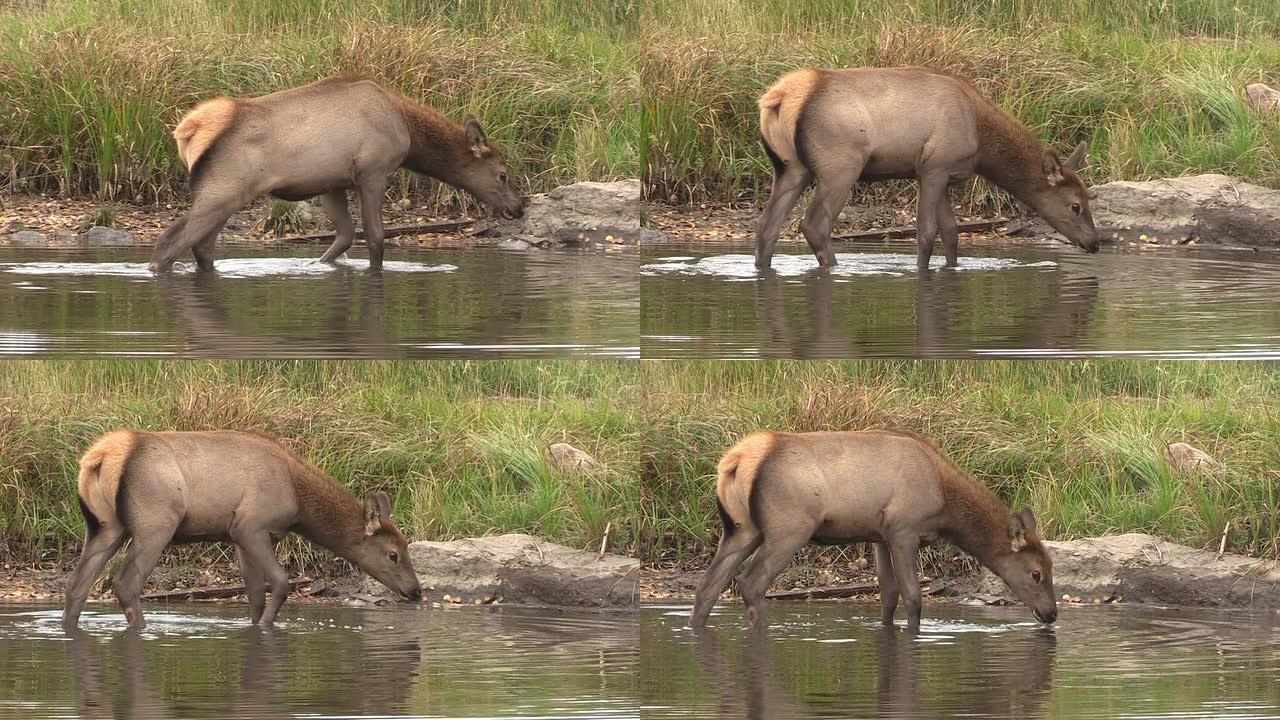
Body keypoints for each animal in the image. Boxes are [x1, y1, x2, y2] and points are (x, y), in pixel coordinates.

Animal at [62, 425, 422, 627]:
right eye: (393, 554)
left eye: (406, 547)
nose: (416, 591)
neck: (299, 501)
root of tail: (100, 458)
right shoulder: (251, 526)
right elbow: (280, 583)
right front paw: (266, 627)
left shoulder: (237, 536)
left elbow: (255, 594)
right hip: (156, 522)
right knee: (125, 583)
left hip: (104, 527)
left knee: (76, 585)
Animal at [151, 74, 524, 271]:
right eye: (503, 174)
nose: (518, 207)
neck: (410, 133)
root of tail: (188, 130)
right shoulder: (373, 171)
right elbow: (374, 237)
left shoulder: (331, 183)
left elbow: (343, 237)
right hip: (222, 190)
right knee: (170, 241)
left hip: (228, 196)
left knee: (202, 246)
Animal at [691, 427, 1059, 625]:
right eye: (1036, 573)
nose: (1051, 614)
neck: (945, 505)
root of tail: (735, 461)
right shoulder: (903, 530)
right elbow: (913, 596)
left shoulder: (878, 536)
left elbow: (888, 595)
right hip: (789, 528)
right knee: (750, 583)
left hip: (741, 530)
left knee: (707, 585)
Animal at [757, 67, 1100, 270]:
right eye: (1075, 205)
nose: (1095, 243)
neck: (982, 144)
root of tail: (779, 98)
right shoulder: (933, 168)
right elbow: (926, 232)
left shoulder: (946, 175)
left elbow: (951, 233)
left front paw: (952, 268)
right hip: (839, 165)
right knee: (814, 225)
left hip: (790, 168)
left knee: (767, 226)